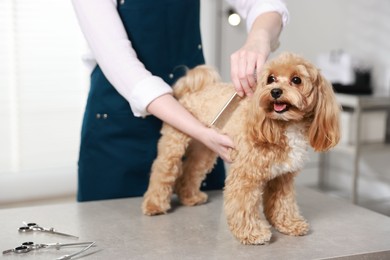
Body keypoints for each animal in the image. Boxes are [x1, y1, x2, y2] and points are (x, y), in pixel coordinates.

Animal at [142, 53, 340, 246]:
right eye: (271, 79)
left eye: (296, 79)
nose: (275, 91)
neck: (285, 126)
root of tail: (194, 89)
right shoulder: (245, 175)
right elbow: (243, 206)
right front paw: (252, 233)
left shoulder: (283, 177)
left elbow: (283, 203)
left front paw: (289, 223)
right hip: (174, 143)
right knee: (162, 171)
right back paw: (154, 205)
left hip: (204, 150)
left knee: (191, 170)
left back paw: (190, 197)